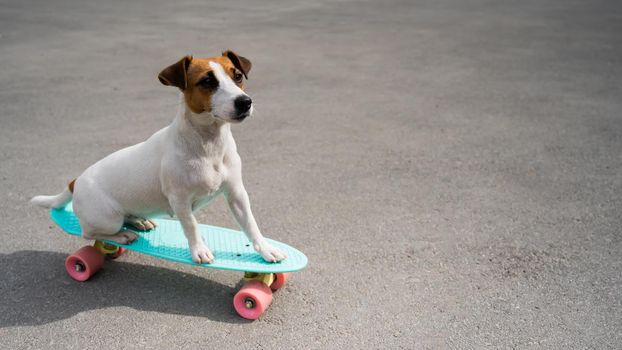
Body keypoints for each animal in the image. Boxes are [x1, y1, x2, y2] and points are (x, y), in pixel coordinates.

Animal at [31, 50, 288, 264]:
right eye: (207, 81)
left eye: (237, 76)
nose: (245, 102)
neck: (209, 144)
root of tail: (76, 181)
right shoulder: (180, 199)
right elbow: (192, 226)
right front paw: (199, 250)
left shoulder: (236, 194)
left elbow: (251, 225)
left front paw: (266, 250)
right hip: (107, 218)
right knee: (90, 233)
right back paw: (123, 235)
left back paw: (138, 220)